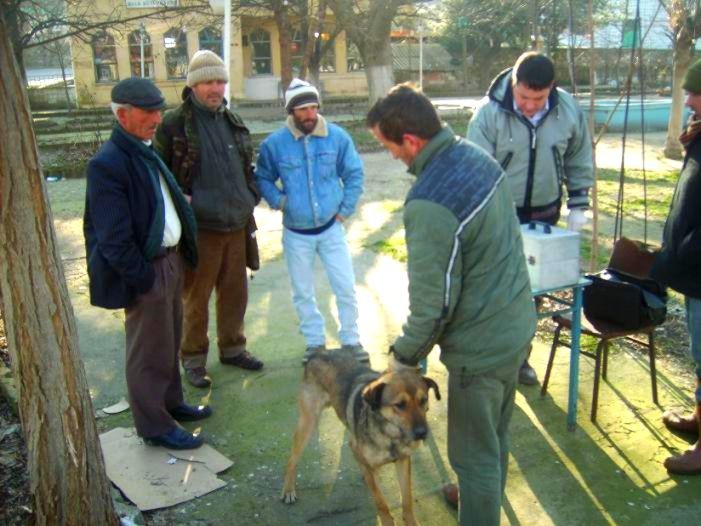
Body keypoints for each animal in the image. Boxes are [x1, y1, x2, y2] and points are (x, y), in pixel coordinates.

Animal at [278, 350, 438, 526]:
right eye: (400, 405)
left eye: (423, 401)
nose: (422, 433)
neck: (389, 434)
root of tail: (318, 353)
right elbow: (381, 502)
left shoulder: (403, 461)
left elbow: (407, 499)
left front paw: (410, 521)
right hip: (308, 422)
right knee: (292, 459)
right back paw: (288, 489)